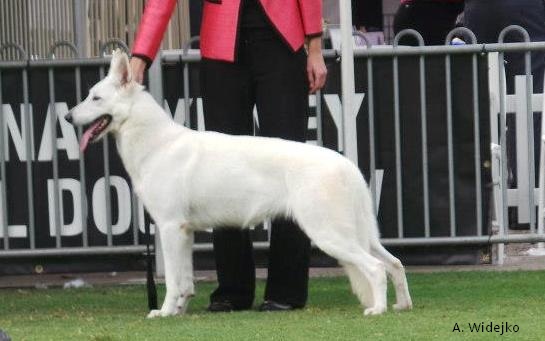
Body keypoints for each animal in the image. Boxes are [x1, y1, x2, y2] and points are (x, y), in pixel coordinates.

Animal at [67, 49, 412, 316]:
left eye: (95, 98)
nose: (69, 117)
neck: (157, 143)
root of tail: (347, 165)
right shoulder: (184, 233)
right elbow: (186, 282)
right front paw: (178, 312)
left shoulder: (169, 228)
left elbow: (174, 281)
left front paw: (163, 312)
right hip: (358, 234)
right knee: (395, 264)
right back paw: (402, 306)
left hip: (330, 235)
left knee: (376, 268)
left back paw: (378, 309)